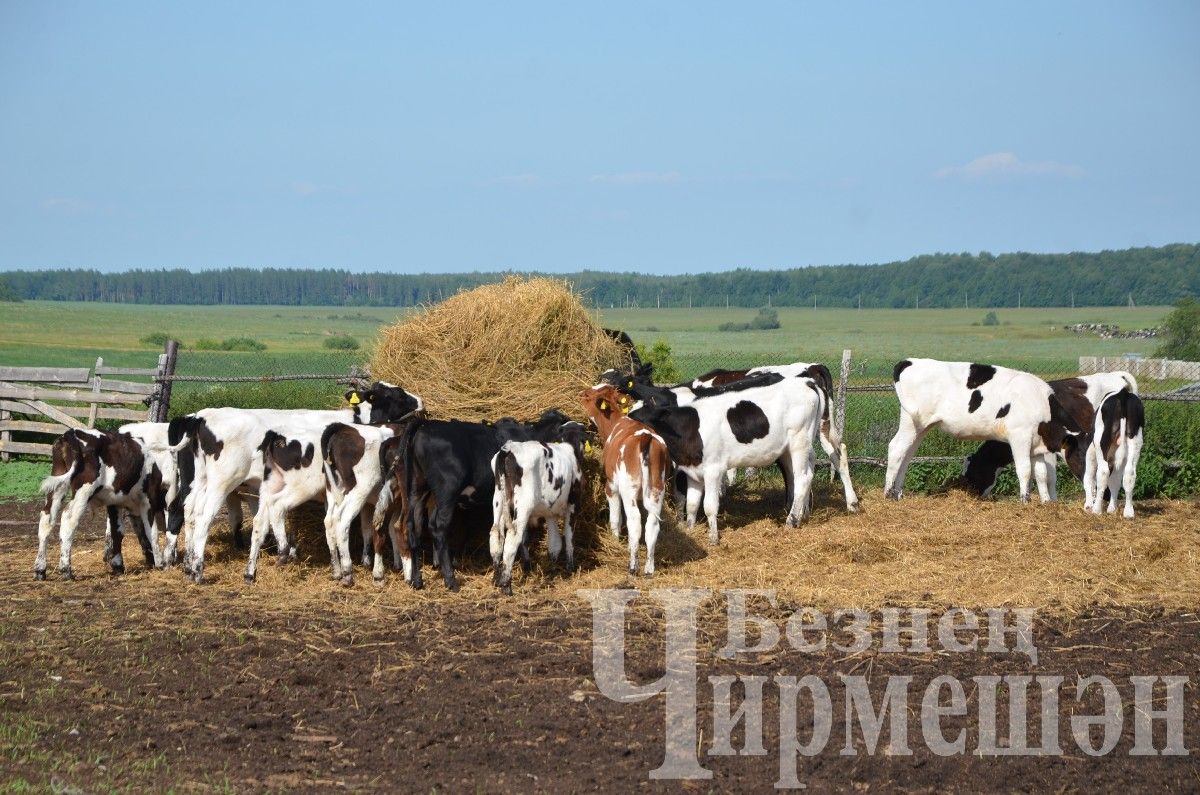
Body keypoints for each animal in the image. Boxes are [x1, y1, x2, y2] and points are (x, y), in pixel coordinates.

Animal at [484, 427, 583, 595]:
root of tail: (508, 449)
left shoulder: (549, 511)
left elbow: (554, 542)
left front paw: (549, 566)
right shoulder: (573, 504)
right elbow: (568, 536)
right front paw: (570, 567)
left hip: (499, 500)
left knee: (495, 534)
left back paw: (496, 579)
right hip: (524, 504)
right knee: (512, 539)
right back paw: (506, 585)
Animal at [628, 377, 825, 545]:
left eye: (641, 416)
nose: (625, 425)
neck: (691, 428)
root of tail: (807, 381)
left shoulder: (713, 470)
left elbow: (709, 506)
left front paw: (713, 538)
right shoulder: (693, 472)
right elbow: (692, 504)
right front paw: (690, 529)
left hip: (799, 442)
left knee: (802, 479)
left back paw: (791, 521)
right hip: (788, 450)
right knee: (797, 477)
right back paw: (801, 516)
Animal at [883, 360, 1089, 504]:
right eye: (1081, 456)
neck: (1041, 403)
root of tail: (909, 361)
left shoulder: (1037, 446)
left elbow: (1041, 474)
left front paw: (1045, 502)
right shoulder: (1019, 437)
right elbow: (1024, 470)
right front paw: (1025, 500)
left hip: (920, 426)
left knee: (907, 455)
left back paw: (898, 493)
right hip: (912, 421)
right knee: (896, 448)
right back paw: (888, 494)